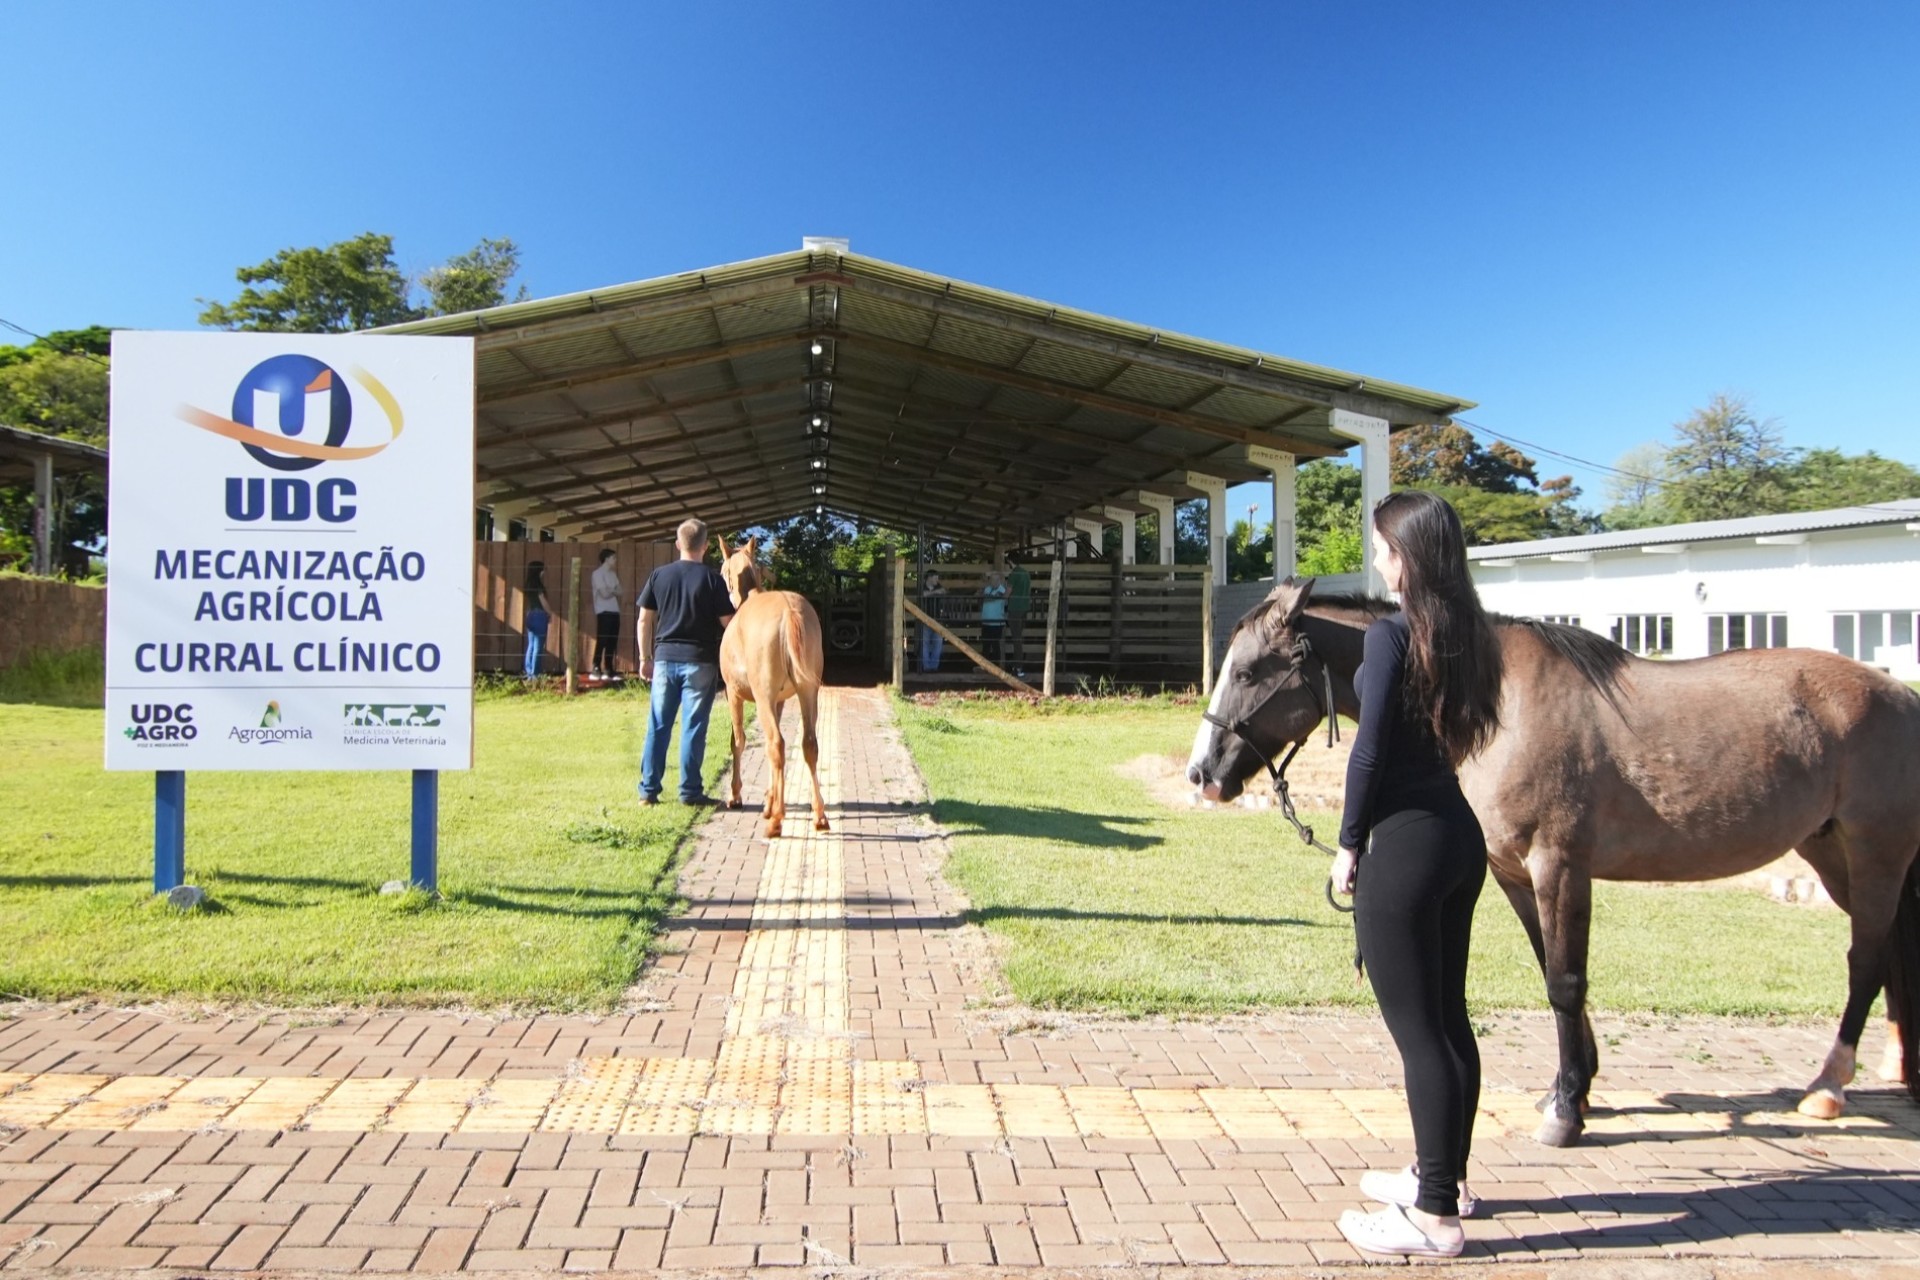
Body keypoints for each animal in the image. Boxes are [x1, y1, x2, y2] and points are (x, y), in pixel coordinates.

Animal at [1182, 575, 1920, 1143]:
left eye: (1247, 671)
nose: (1202, 775)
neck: (1491, 703)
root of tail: (1901, 693)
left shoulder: (1559, 867)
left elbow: (1566, 982)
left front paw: (1567, 1111)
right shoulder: (1514, 873)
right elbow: (1552, 970)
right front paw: (1576, 1087)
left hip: (1875, 852)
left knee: (1864, 959)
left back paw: (1828, 1085)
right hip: (1830, 851)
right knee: (1891, 951)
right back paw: (1896, 1068)